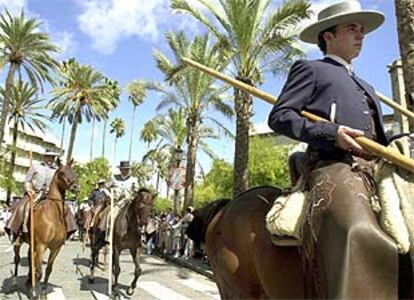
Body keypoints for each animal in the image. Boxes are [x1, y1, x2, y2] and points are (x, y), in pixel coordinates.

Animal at [13, 158, 79, 292]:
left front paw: (42, 289)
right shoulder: (41, 246)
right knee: (17, 258)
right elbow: (39, 273)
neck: (53, 215)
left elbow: (48, 269)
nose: (76, 187)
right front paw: (35, 292)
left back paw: (28, 281)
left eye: (73, 171)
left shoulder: (56, 248)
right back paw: (16, 282)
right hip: (18, 241)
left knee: (30, 258)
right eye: (62, 172)